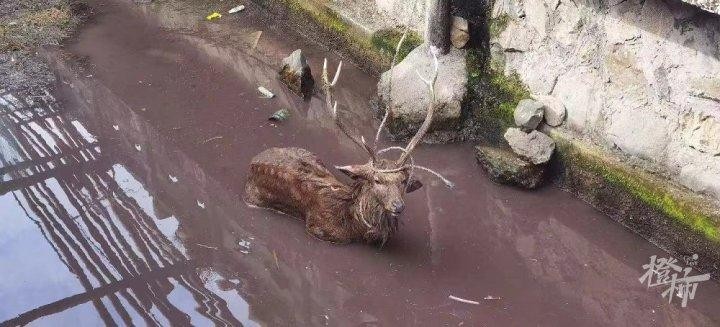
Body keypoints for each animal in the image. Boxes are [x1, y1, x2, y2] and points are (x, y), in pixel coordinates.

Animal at [245, 42, 452, 245]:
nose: (398, 206)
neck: (355, 224)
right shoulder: (319, 229)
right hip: (253, 196)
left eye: (402, 181)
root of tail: (256, 157)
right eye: (377, 180)